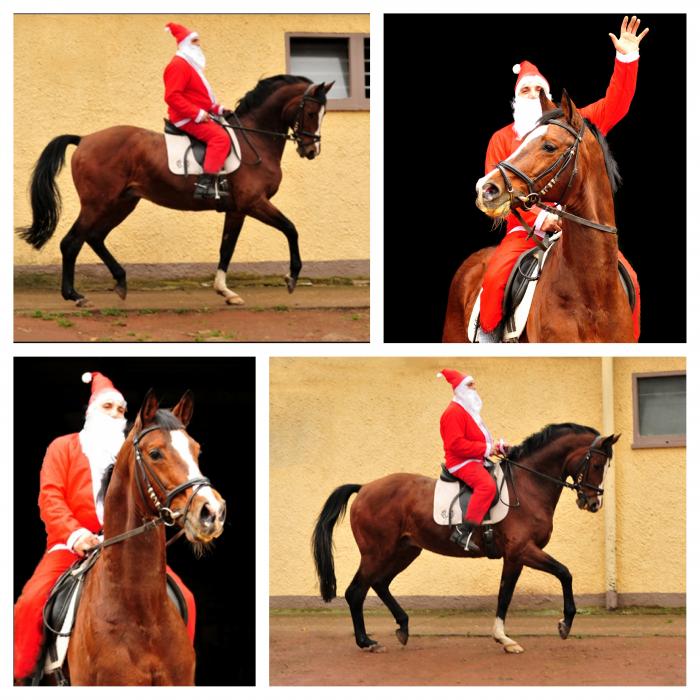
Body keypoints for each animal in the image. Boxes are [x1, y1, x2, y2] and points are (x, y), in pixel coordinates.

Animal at [16, 74, 334, 306]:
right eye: (310, 111)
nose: (311, 150)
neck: (253, 139)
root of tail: (84, 140)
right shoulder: (254, 203)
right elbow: (290, 229)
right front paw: (291, 277)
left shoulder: (236, 209)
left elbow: (226, 247)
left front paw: (226, 292)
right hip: (98, 203)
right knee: (71, 242)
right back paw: (74, 295)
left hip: (122, 203)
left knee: (94, 237)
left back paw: (119, 281)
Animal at [314, 422, 616, 656]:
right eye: (597, 464)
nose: (594, 503)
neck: (528, 487)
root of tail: (365, 488)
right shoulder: (522, 550)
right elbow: (562, 573)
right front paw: (563, 624)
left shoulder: (515, 556)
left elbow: (506, 594)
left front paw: (505, 639)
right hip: (377, 552)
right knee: (356, 591)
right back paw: (367, 642)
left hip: (404, 551)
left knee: (379, 583)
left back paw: (402, 626)